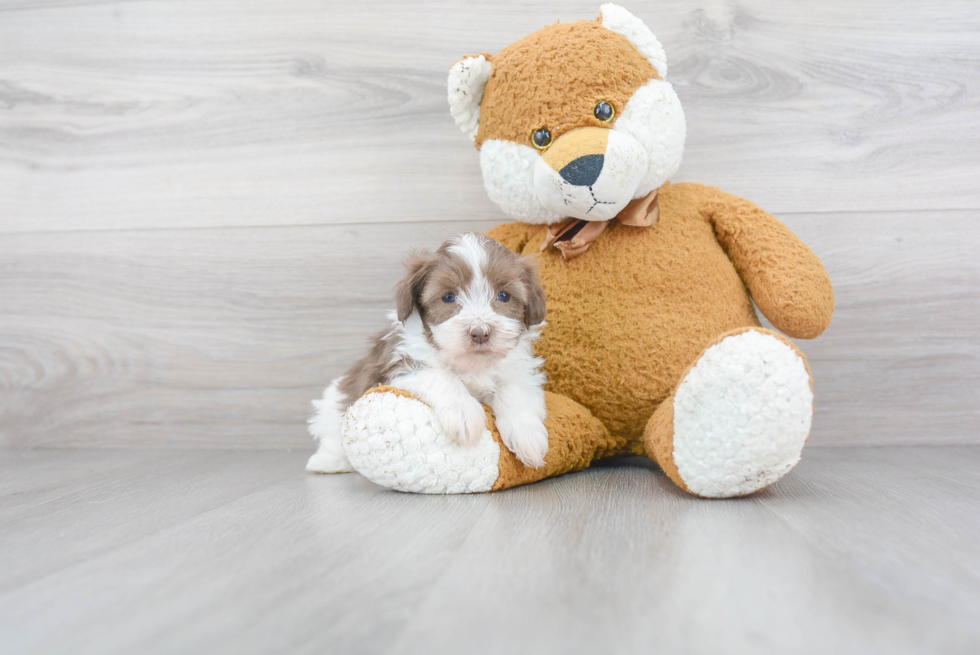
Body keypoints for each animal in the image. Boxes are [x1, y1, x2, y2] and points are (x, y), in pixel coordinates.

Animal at [308, 233, 552, 474]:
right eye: (449, 297)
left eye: (503, 296)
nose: (480, 333)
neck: (471, 364)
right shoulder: (397, 366)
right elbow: (441, 375)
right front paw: (464, 414)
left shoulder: (520, 370)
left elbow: (515, 390)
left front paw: (528, 436)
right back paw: (326, 461)